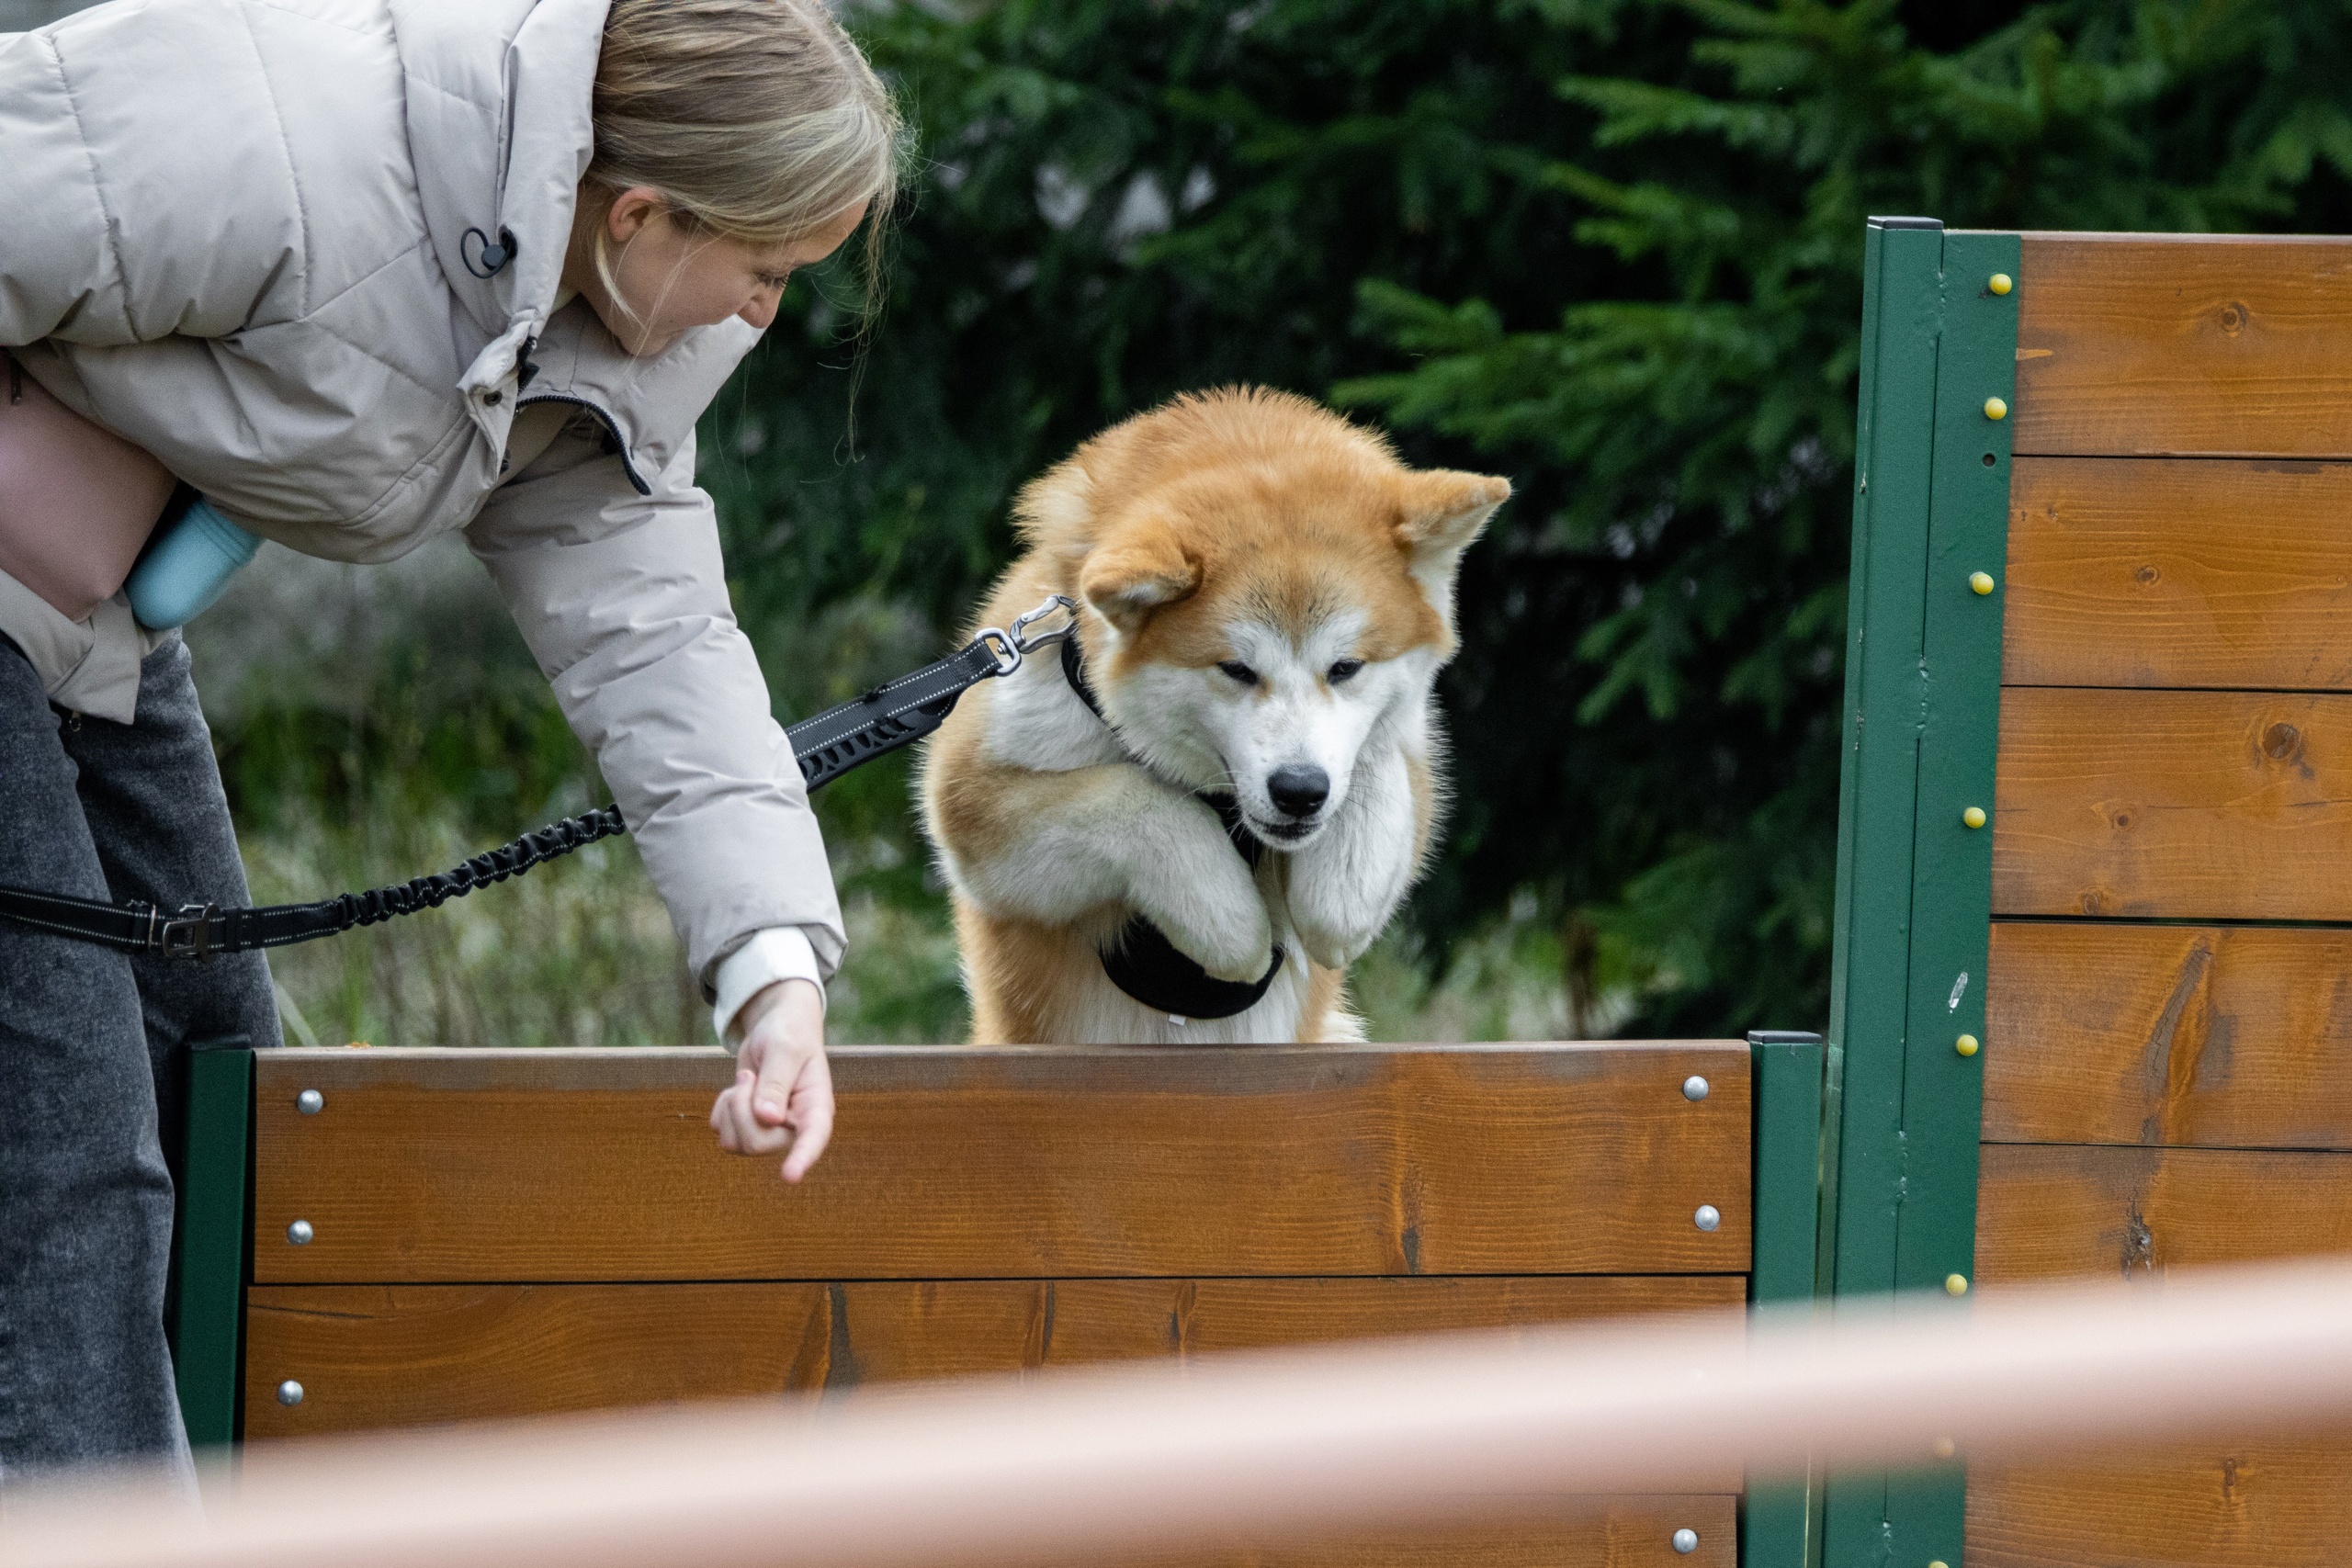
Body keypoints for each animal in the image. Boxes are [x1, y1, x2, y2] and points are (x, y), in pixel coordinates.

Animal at [917, 385, 1505, 1043]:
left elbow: (1373, 779)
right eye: (1237, 670)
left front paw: (1336, 899)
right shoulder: (971, 799)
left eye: (1346, 667)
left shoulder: (1409, 746)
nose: (1300, 790)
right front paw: (1233, 926)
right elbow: (1144, 801)